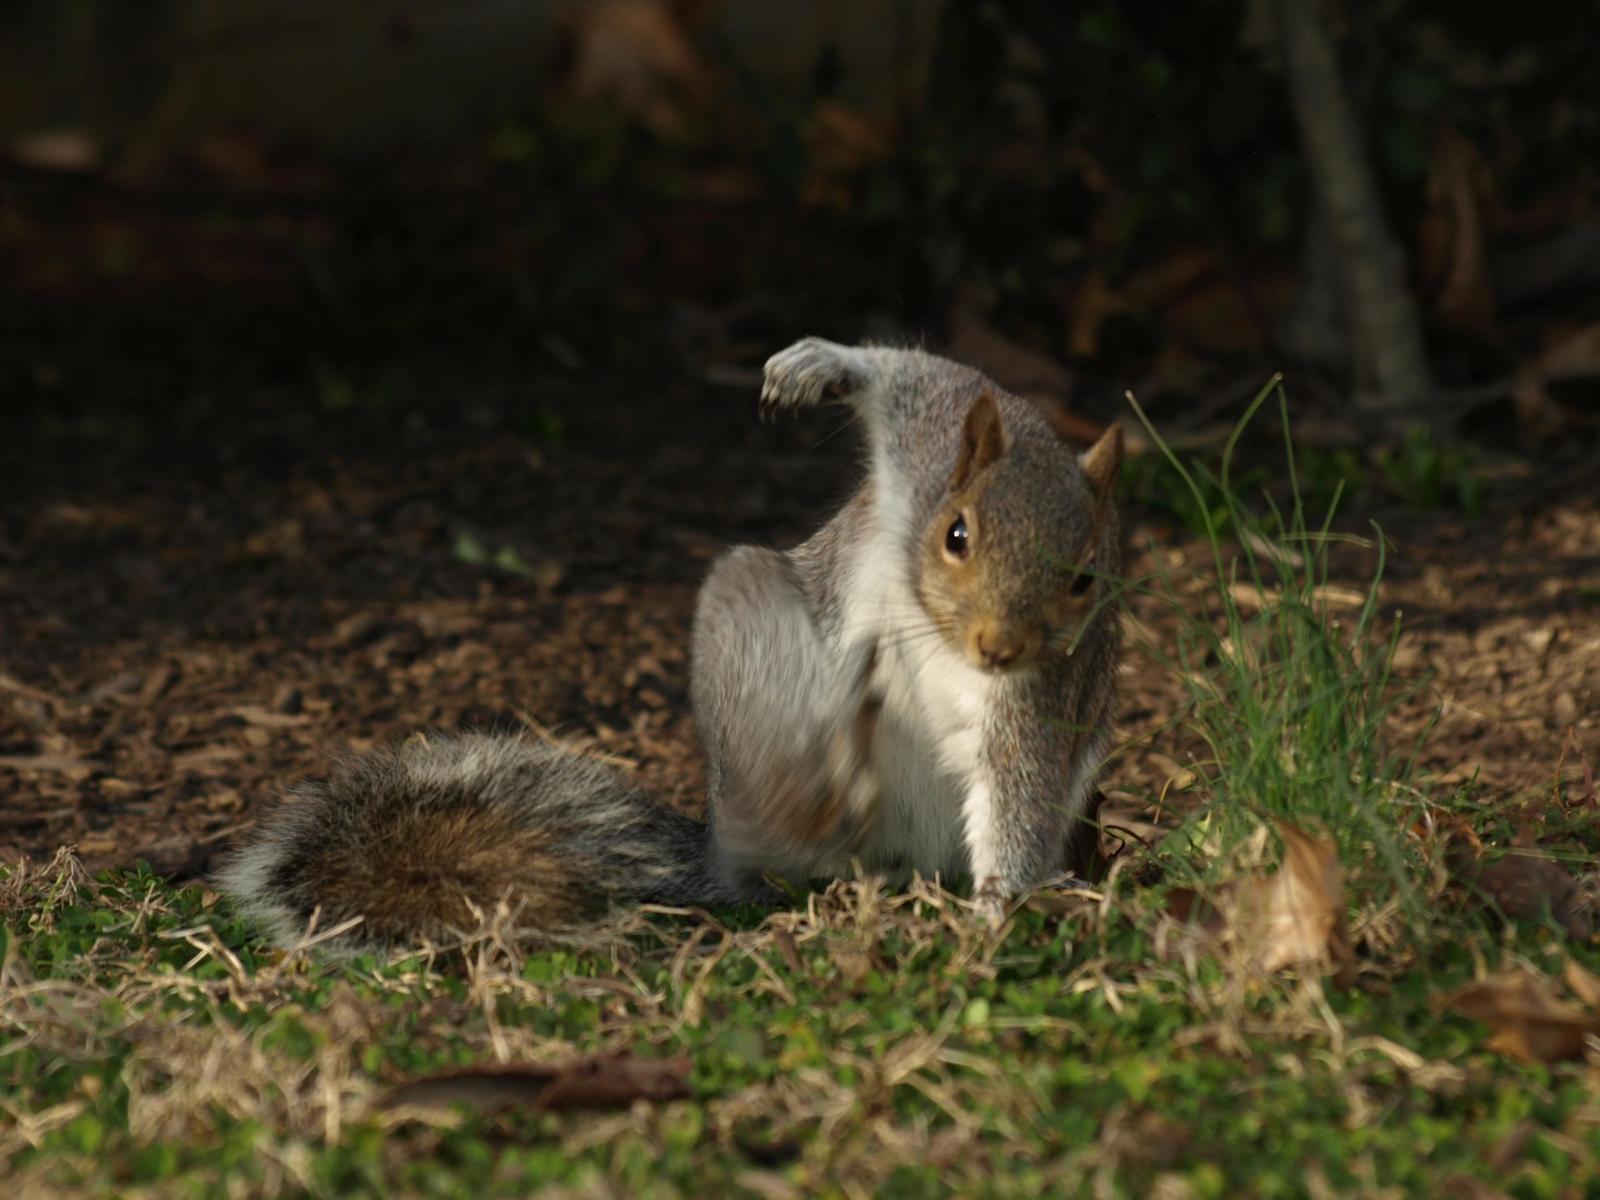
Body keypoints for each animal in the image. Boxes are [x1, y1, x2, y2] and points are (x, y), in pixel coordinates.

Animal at [219, 336, 1126, 947]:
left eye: (1088, 576)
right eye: (956, 534)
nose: (998, 647)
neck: (938, 630)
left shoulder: (1042, 696)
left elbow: (1021, 791)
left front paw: (999, 912)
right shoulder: (929, 445)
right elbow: (918, 376)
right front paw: (820, 365)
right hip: (747, 624)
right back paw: (816, 787)